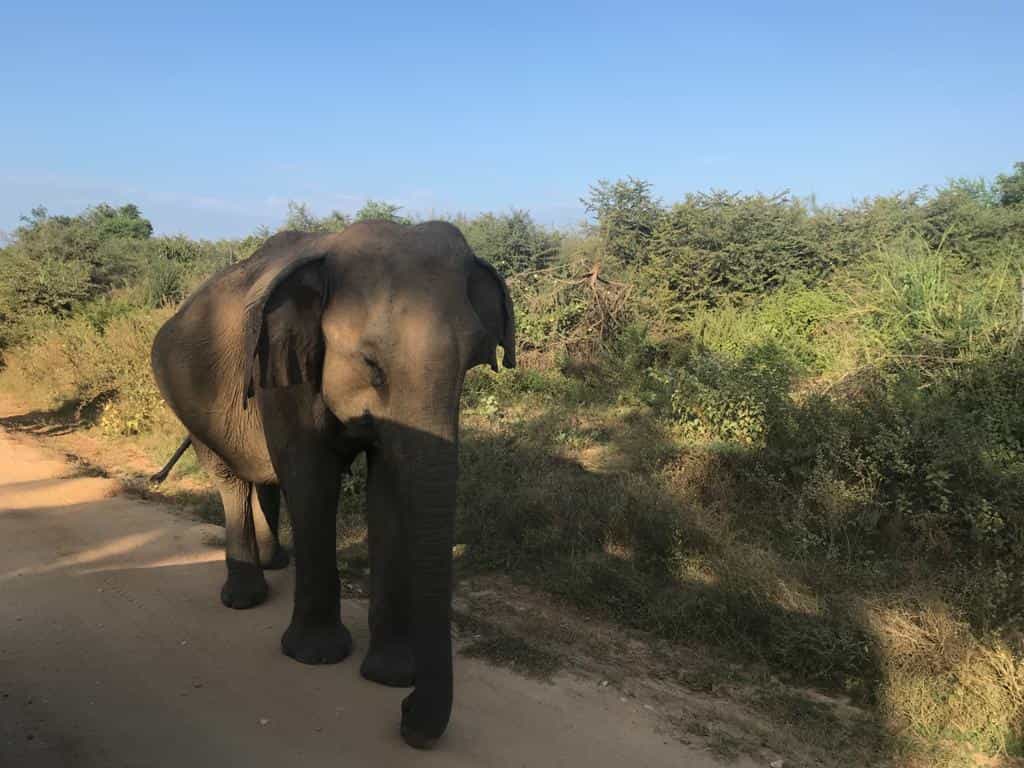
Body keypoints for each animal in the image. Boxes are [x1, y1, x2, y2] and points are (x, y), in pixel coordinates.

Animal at [148, 219, 516, 749]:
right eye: (371, 365)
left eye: (471, 362)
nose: (406, 717)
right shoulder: (286, 369)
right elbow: (312, 477)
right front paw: (316, 656)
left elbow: (387, 490)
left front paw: (390, 674)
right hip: (185, 394)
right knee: (230, 477)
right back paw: (244, 596)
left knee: (264, 475)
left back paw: (275, 561)